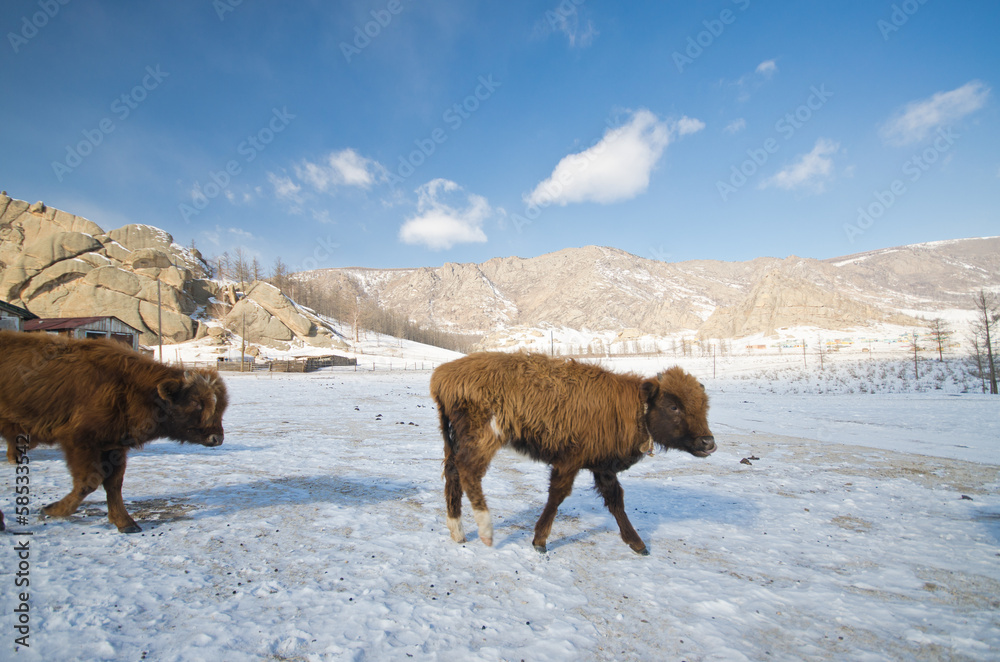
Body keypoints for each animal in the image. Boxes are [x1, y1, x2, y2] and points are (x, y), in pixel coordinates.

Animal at [0, 330, 227, 533]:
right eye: (197, 403)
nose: (217, 438)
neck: (129, 386)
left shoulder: (114, 448)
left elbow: (114, 484)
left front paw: (126, 523)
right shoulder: (80, 442)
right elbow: (88, 482)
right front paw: (52, 509)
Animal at [430, 351, 716, 555]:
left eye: (704, 405)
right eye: (674, 406)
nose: (708, 442)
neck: (632, 406)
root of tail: (443, 374)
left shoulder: (603, 468)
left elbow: (616, 502)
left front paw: (638, 544)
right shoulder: (569, 463)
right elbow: (557, 496)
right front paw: (539, 541)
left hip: (456, 439)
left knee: (453, 473)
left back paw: (457, 531)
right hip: (484, 437)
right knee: (469, 472)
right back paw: (486, 532)